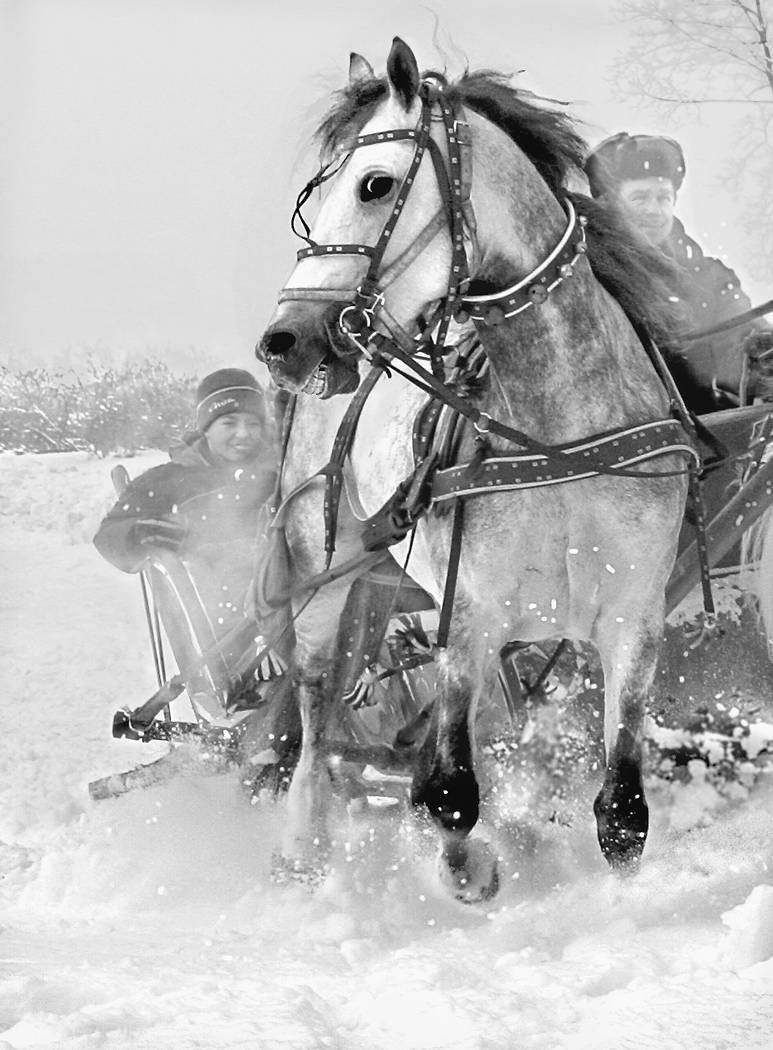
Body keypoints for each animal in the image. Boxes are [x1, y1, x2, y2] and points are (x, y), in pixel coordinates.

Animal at [256, 37, 697, 898]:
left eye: (374, 184)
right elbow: (447, 793)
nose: (284, 342)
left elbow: (622, 810)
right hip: (320, 569)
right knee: (315, 703)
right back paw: (303, 838)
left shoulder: (632, 617)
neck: (559, 426)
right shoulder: (469, 617)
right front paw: (470, 871)